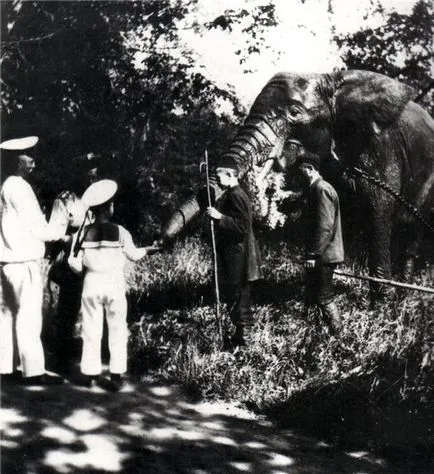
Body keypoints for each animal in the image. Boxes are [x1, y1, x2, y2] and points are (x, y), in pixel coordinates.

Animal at [162, 69, 434, 300]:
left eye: (294, 112)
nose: (159, 239)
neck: (330, 80)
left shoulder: (381, 147)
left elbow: (378, 211)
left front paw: (382, 304)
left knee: (411, 232)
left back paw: (404, 294)